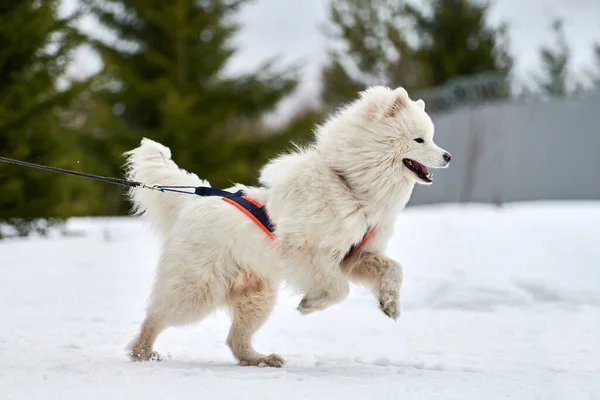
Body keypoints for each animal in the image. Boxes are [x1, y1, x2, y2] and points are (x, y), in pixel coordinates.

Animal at [123, 86, 450, 368]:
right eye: (419, 140)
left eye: (432, 138)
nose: (448, 156)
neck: (350, 186)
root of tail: (193, 201)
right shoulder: (307, 253)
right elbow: (339, 289)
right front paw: (309, 304)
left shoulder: (354, 255)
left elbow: (394, 268)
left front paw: (390, 304)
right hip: (199, 288)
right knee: (158, 315)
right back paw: (143, 352)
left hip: (257, 296)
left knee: (235, 340)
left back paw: (261, 359)